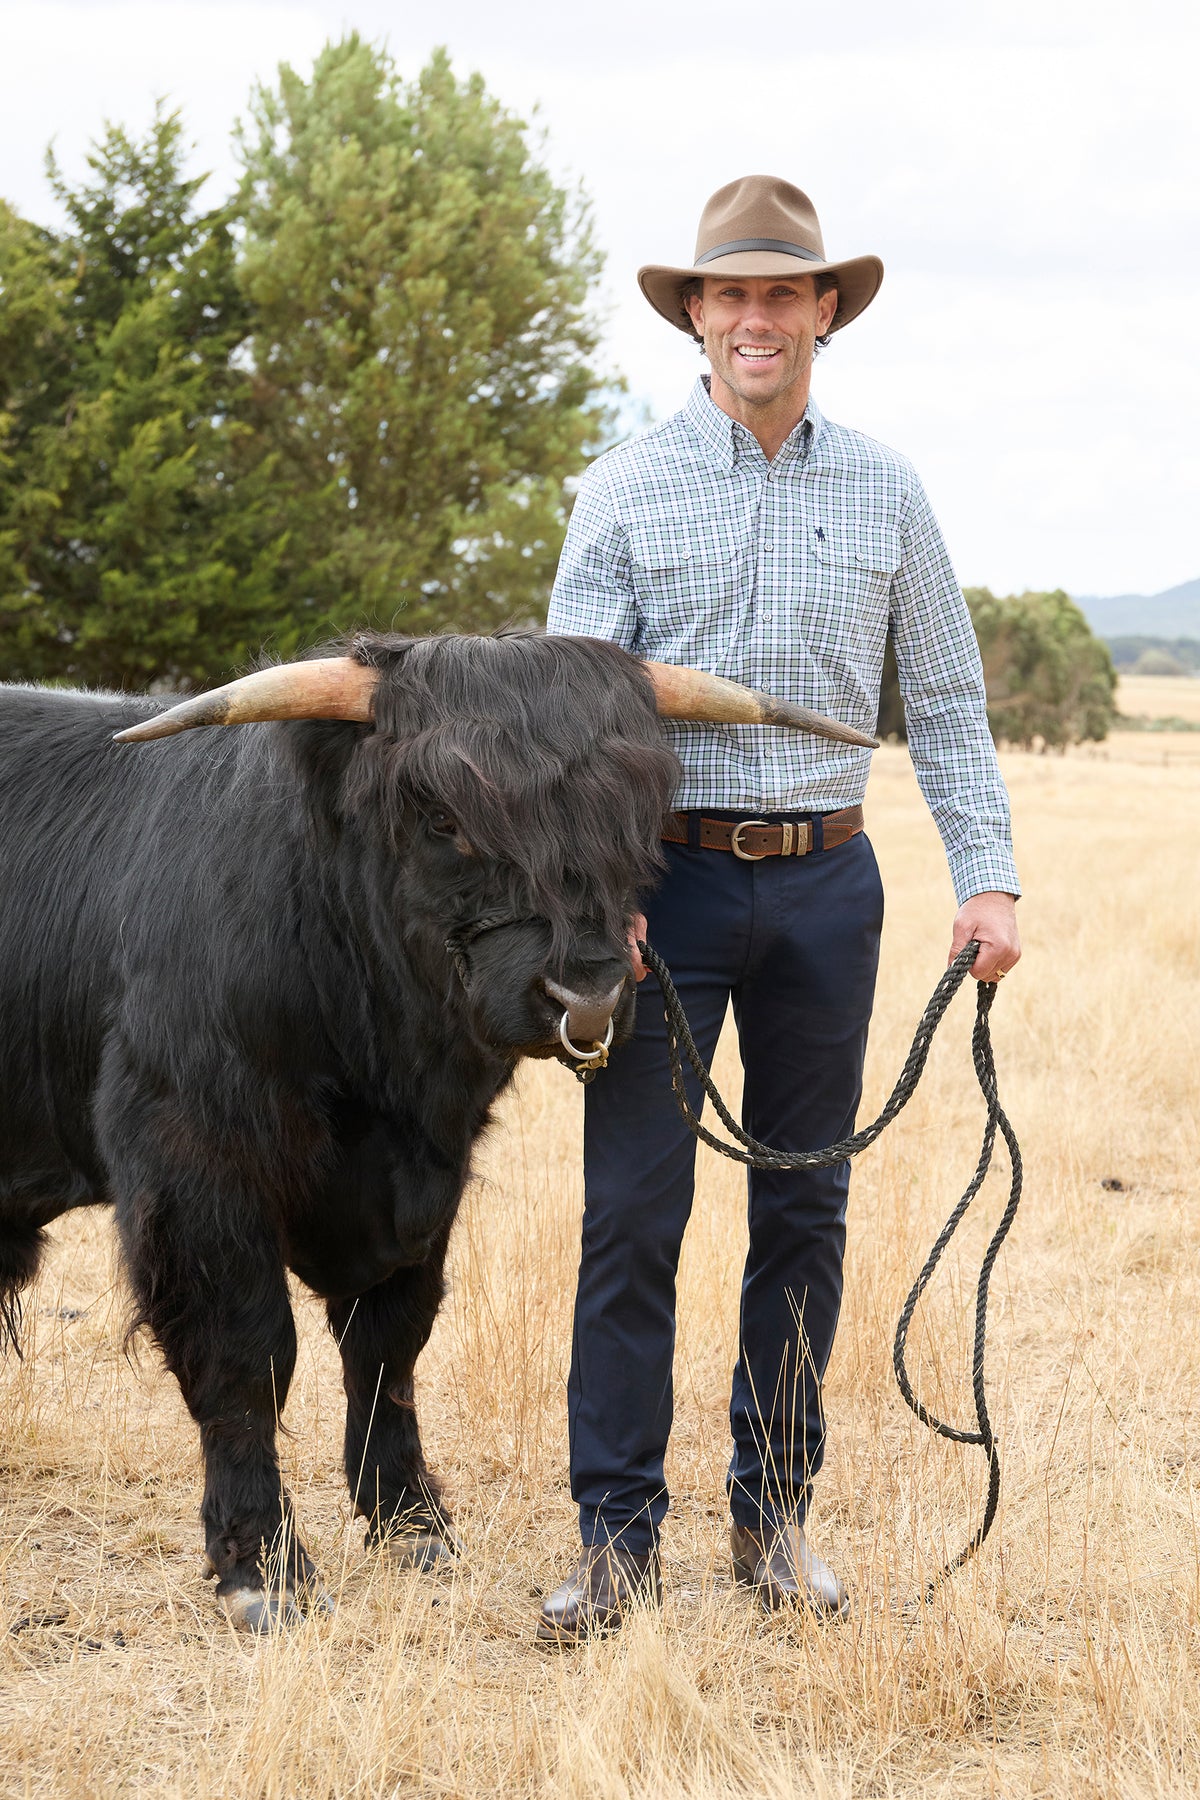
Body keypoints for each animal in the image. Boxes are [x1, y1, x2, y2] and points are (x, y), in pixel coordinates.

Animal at [0, 630, 873, 1630]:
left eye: (638, 815)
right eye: (442, 819)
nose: (588, 998)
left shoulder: (427, 1179)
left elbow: (388, 1346)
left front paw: (411, 1522)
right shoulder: (193, 1165)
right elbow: (246, 1357)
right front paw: (262, 1565)